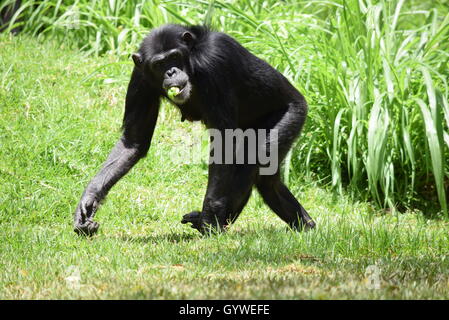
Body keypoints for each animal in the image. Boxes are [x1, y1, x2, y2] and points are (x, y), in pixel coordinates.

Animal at [73, 24, 316, 235]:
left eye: (174, 57)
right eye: (158, 65)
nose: (171, 72)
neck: (193, 58)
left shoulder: (214, 60)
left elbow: (224, 143)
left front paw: (209, 219)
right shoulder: (140, 76)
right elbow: (133, 141)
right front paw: (89, 200)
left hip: (292, 114)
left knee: (254, 161)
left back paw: (213, 222)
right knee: (267, 180)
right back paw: (305, 224)